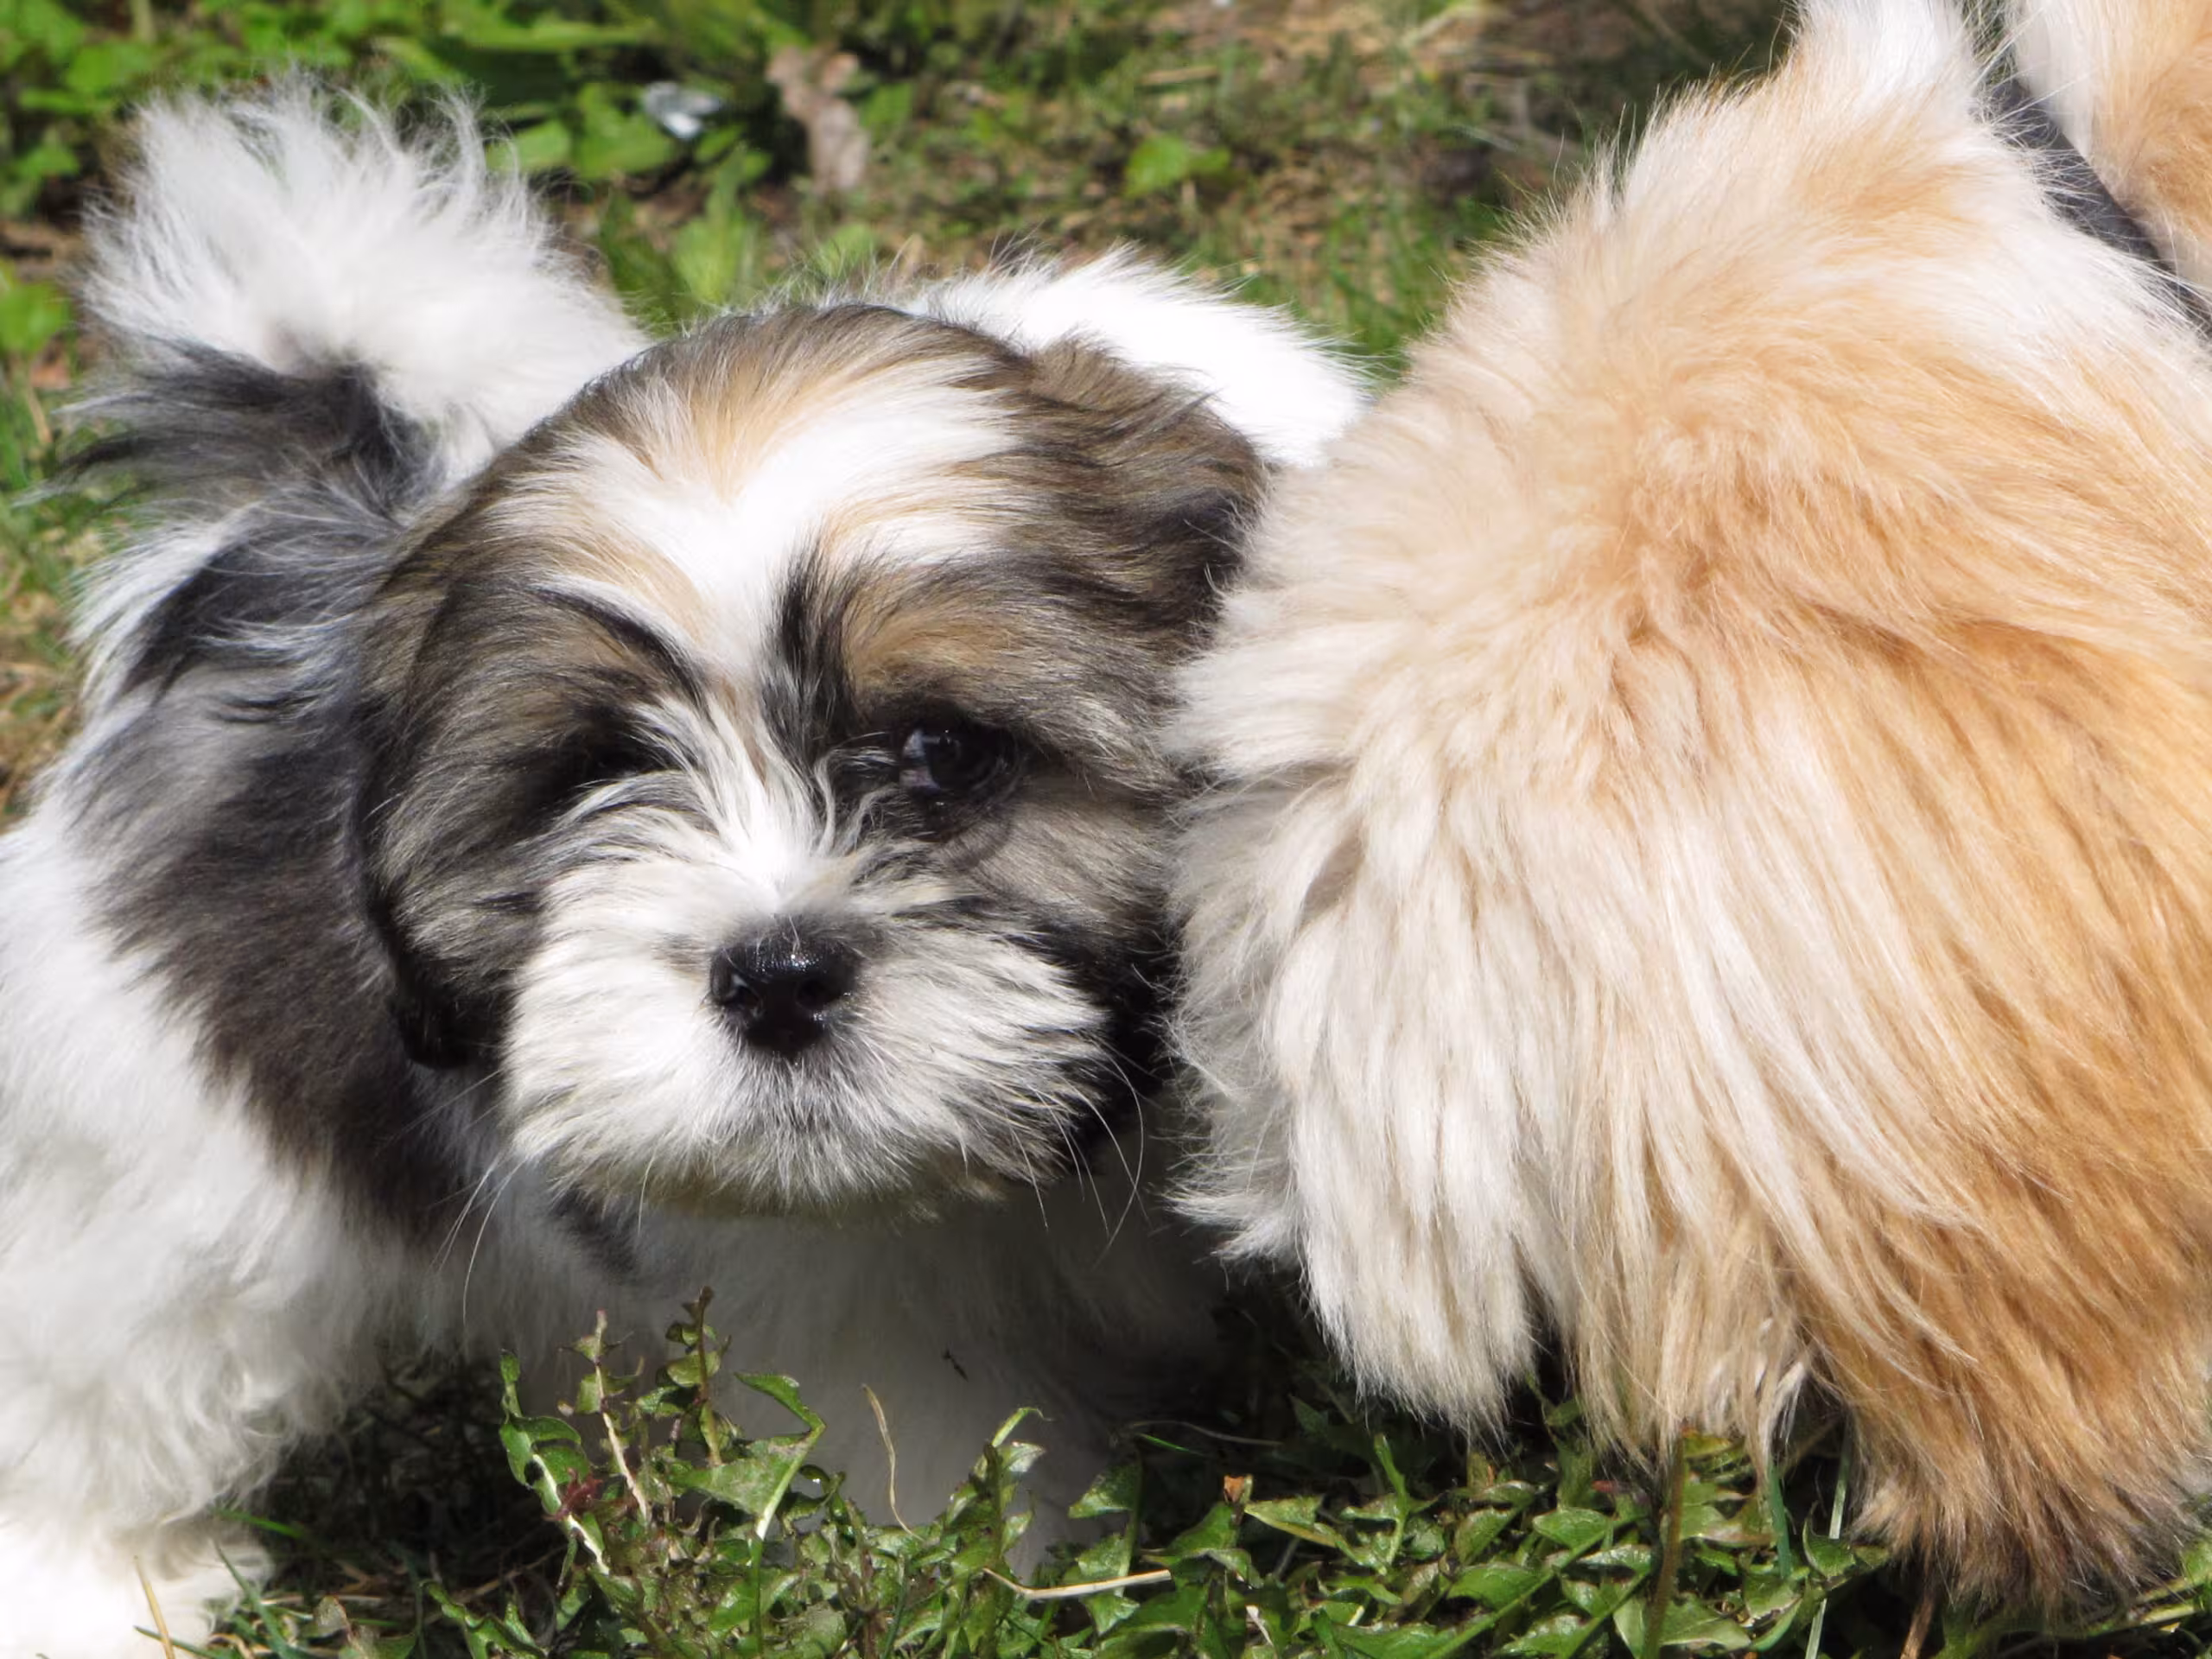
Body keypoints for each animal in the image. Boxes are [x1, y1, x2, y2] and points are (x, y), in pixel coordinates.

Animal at [0, 89, 1363, 1656]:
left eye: (945, 753)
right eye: (600, 771)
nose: (772, 976)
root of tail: (279, 549)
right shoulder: (847, 1299)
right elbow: (930, 1435)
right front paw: (982, 1580)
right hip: (163, 1134)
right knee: (120, 1360)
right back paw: (90, 1585)